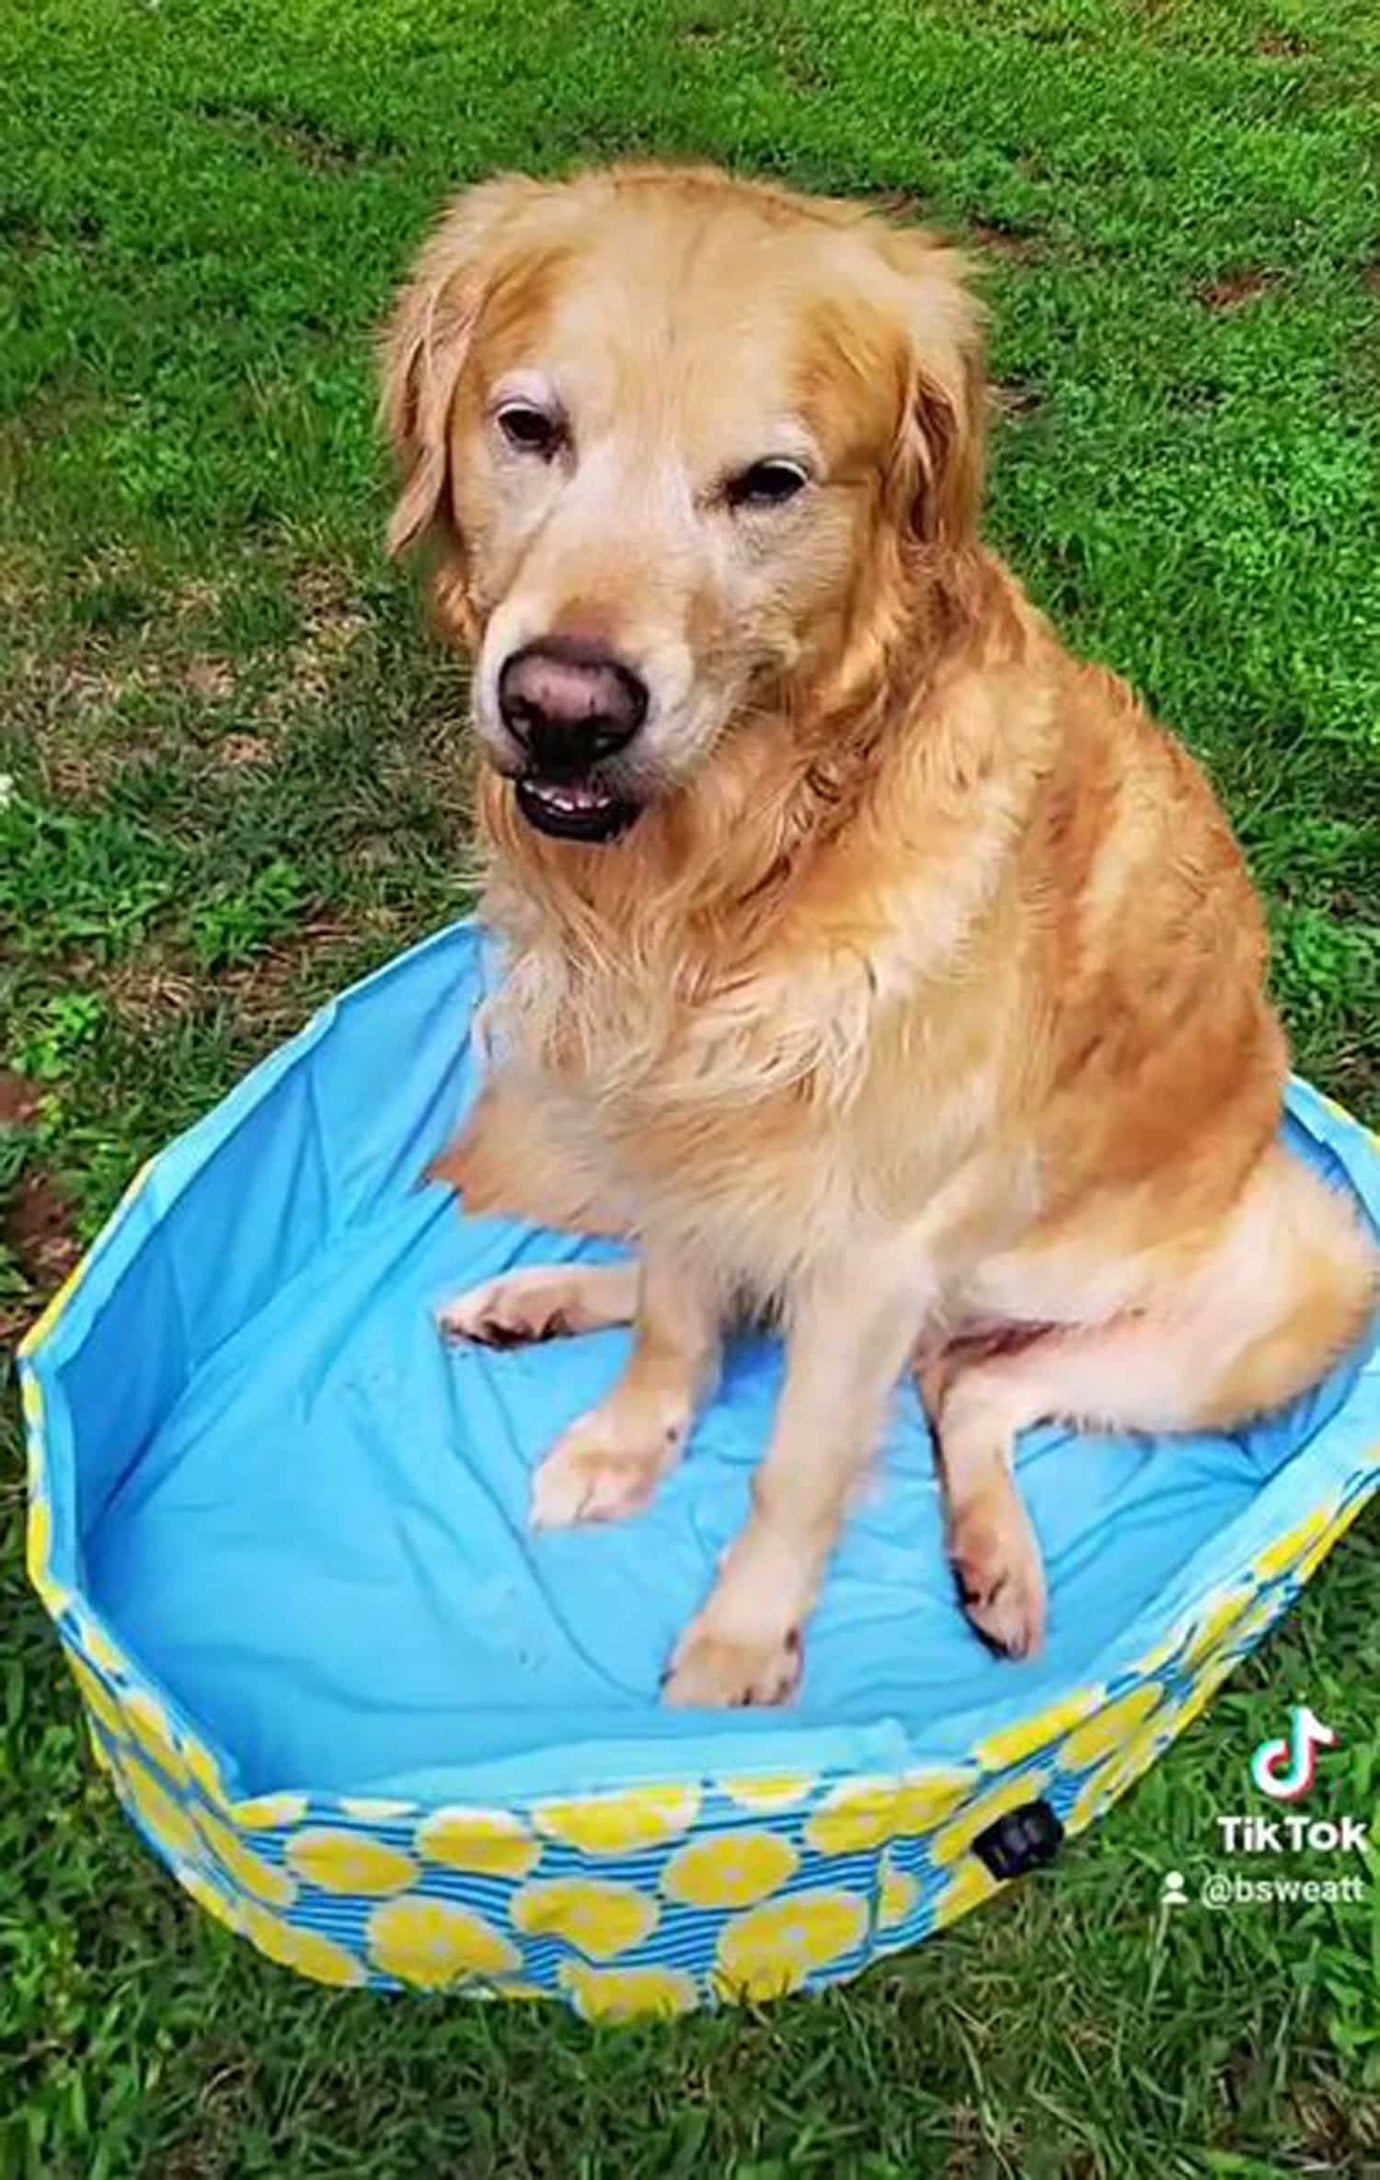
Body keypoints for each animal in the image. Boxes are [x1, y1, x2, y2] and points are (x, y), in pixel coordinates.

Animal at [379, 165, 1377, 1700]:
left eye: (769, 484)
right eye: (528, 429)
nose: (564, 710)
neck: (742, 862)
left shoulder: (877, 1249)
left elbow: (795, 1466)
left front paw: (739, 1650)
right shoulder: (689, 1127)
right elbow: (679, 1319)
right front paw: (628, 1441)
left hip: (1302, 1274)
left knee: (972, 1385)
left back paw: (997, 1563)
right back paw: (533, 1297)